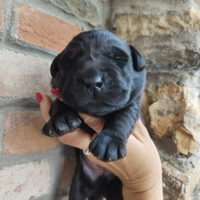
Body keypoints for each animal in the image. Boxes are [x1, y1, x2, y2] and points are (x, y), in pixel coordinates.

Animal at [42, 30, 145, 200]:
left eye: (118, 59)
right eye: (69, 61)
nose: (92, 81)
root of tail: (99, 189)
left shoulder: (134, 101)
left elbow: (124, 115)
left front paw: (109, 141)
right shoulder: (60, 89)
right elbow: (60, 102)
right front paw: (61, 120)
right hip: (78, 185)